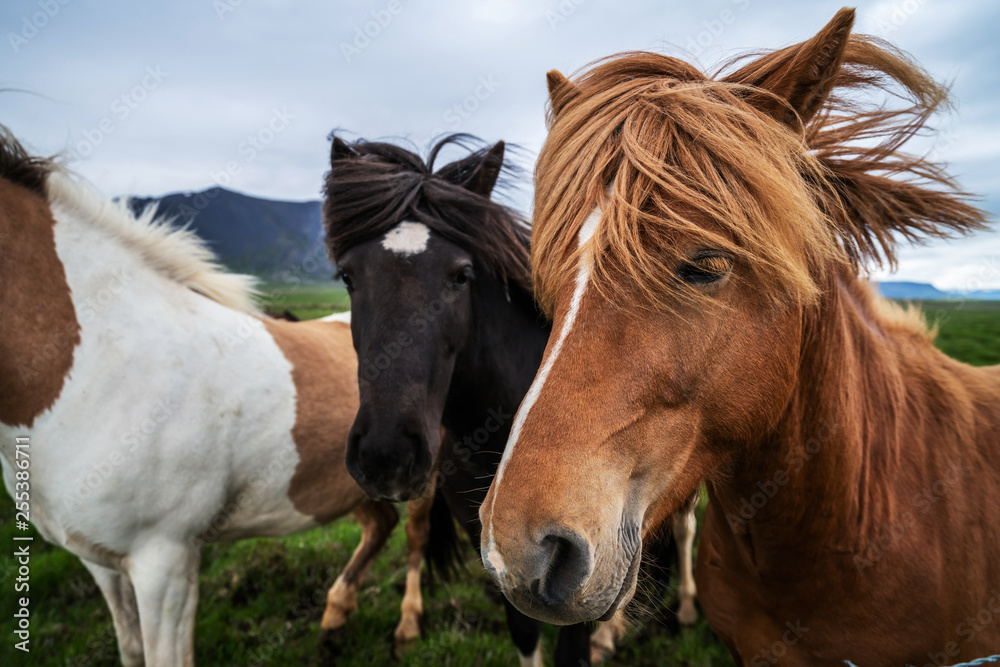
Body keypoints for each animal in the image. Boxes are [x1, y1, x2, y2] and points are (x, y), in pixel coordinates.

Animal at [0, 130, 442, 667]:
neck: (100, 365)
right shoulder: (100, 563)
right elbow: (130, 648)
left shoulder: (164, 563)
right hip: (348, 480)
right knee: (378, 524)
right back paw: (335, 618)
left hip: (421, 476)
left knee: (416, 536)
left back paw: (407, 627)